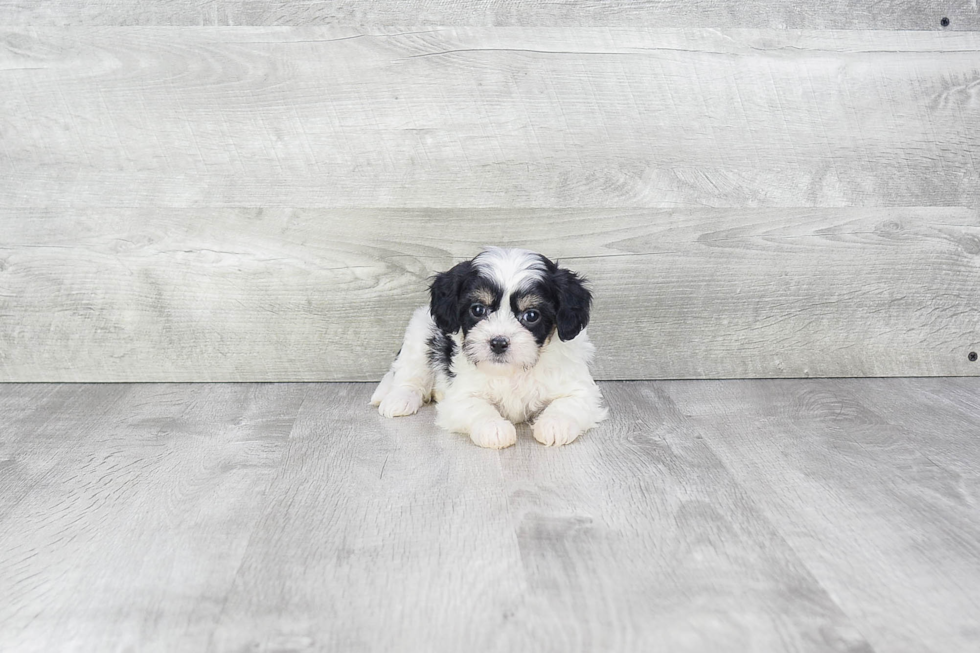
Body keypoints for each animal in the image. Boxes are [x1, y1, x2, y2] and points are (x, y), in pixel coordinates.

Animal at [374, 246, 608, 448]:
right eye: (478, 309)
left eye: (531, 315)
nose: (498, 342)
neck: (513, 371)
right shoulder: (461, 395)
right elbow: (477, 407)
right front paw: (494, 429)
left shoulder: (581, 390)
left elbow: (570, 403)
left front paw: (555, 424)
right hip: (420, 330)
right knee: (409, 375)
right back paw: (398, 399)